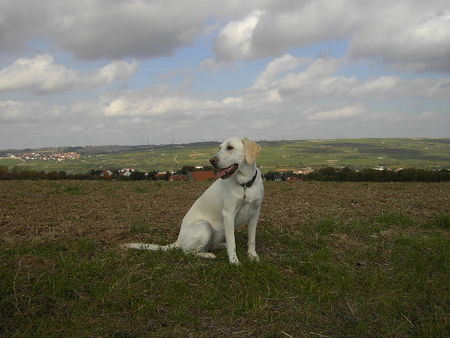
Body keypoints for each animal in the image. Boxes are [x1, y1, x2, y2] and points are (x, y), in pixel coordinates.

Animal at [122, 137, 264, 264]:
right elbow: (232, 242)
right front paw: (234, 261)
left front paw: (253, 255)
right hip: (205, 226)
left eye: (230, 147)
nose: (211, 161)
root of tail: (178, 240)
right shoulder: (228, 214)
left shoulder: (255, 213)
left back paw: (220, 246)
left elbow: (252, 239)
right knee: (188, 252)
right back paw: (207, 255)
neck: (245, 184)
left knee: (211, 245)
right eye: (219, 148)